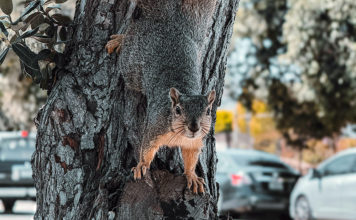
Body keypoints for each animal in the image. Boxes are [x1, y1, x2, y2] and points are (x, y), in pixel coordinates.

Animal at [105, 0, 216, 194]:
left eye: (208, 111)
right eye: (178, 110)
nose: (194, 127)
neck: (181, 134)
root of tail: (168, 23)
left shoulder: (194, 143)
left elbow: (190, 159)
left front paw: (192, 176)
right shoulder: (155, 127)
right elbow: (146, 148)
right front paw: (141, 166)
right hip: (132, 66)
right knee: (129, 41)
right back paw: (120, 39)